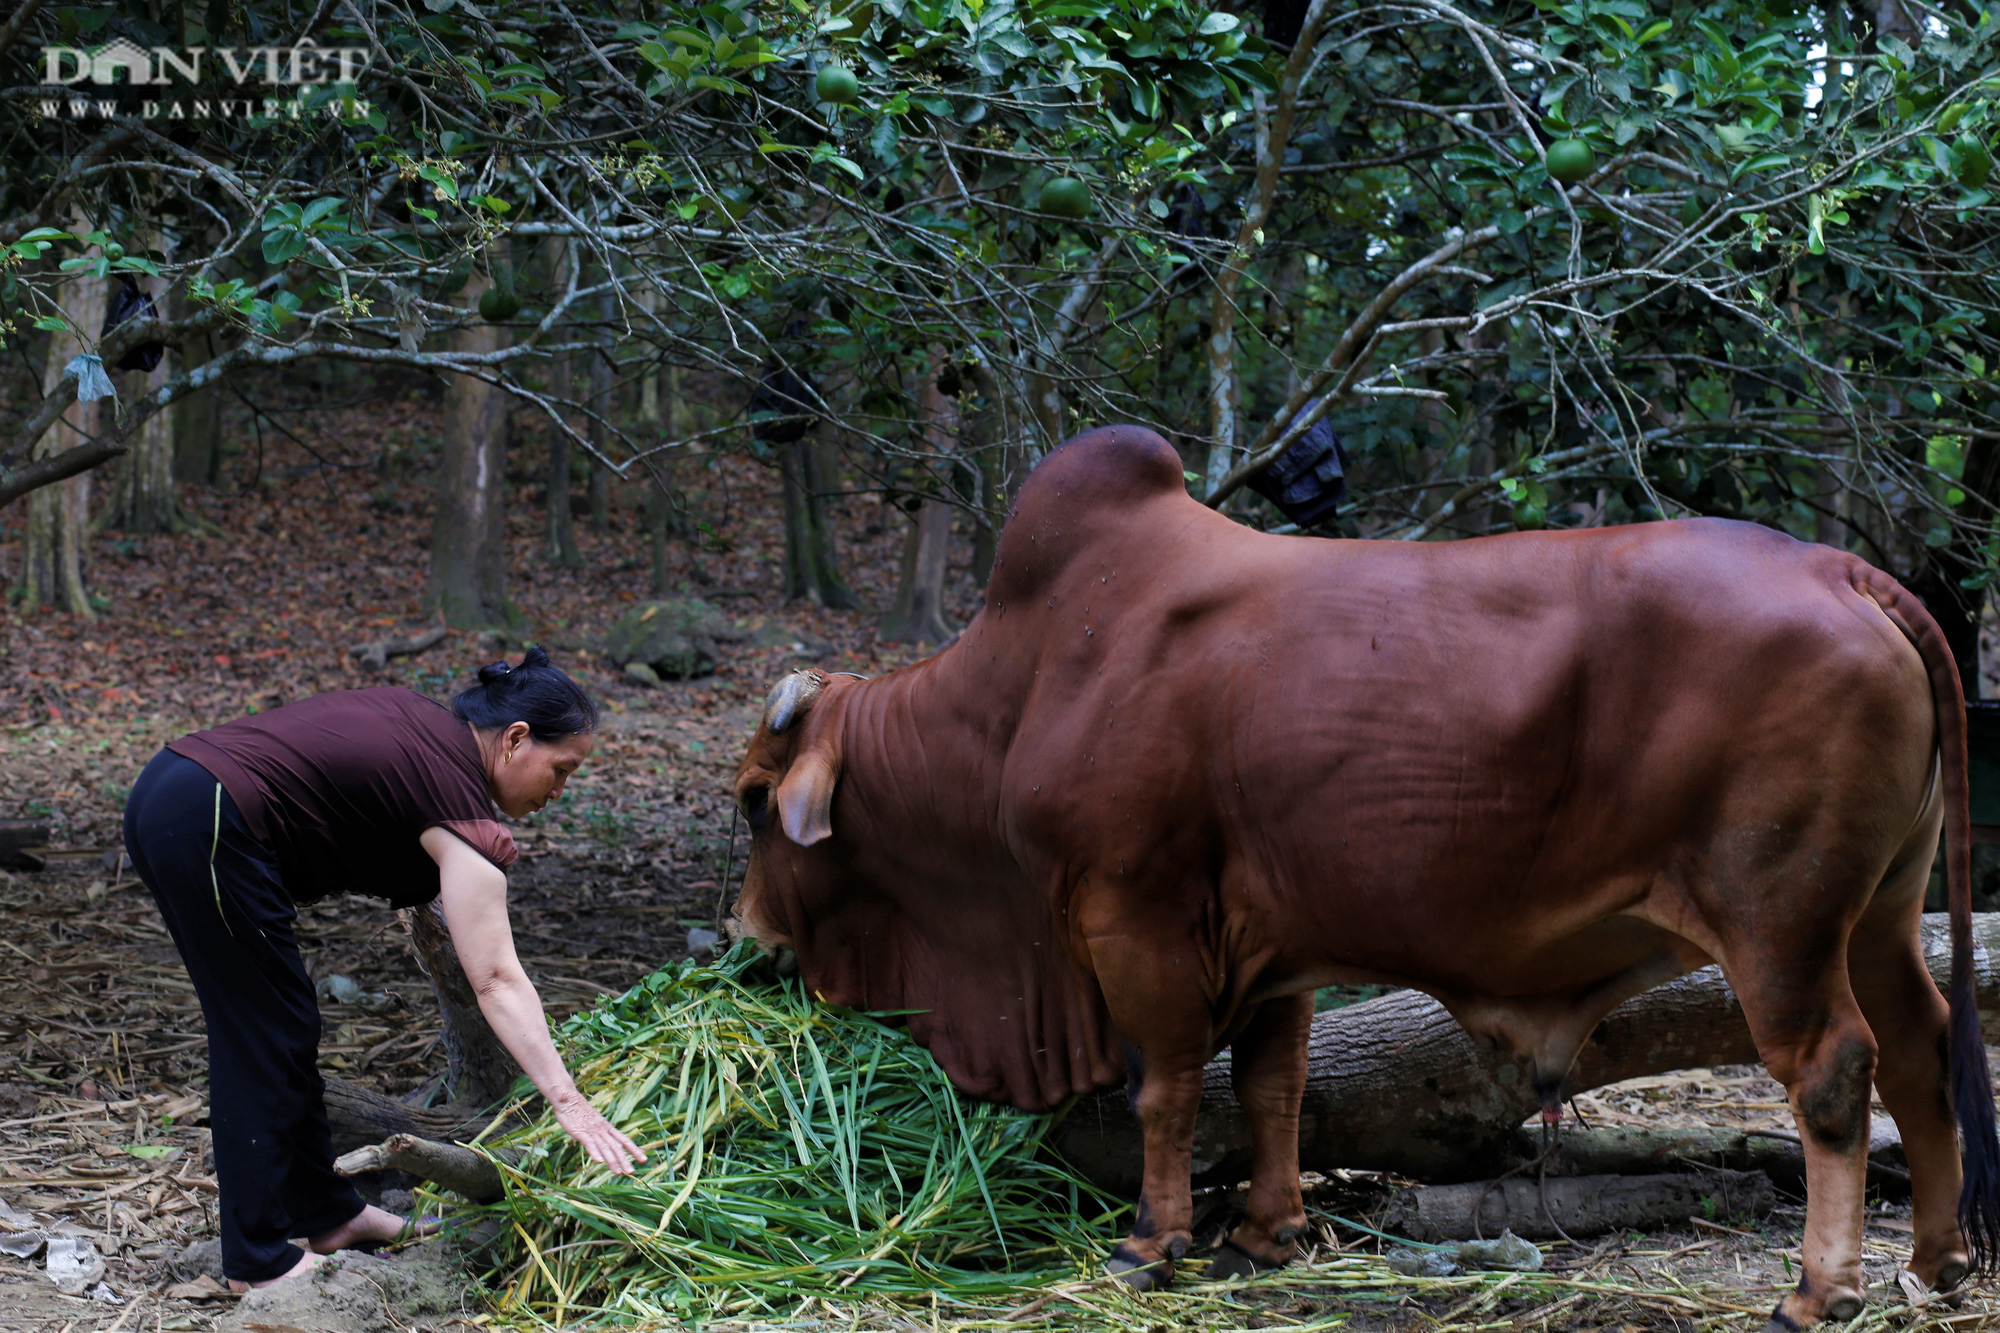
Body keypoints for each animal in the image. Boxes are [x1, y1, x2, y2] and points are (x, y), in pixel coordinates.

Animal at [736, 426, 2000, 1320]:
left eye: (754, 802)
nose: (746, 940)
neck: (1029, 680)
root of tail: (1841, 569)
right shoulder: (1269, 946)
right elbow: (1271, 1088)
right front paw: (1266, 1234)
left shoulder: (1131, 917)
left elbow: (1165, 1090)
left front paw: (1151, 1243)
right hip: (1879, 913)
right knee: (1921, 1043)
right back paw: (1934, 1261)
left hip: (1776, 923)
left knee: (1831, 1071)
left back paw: (1817, 1290)